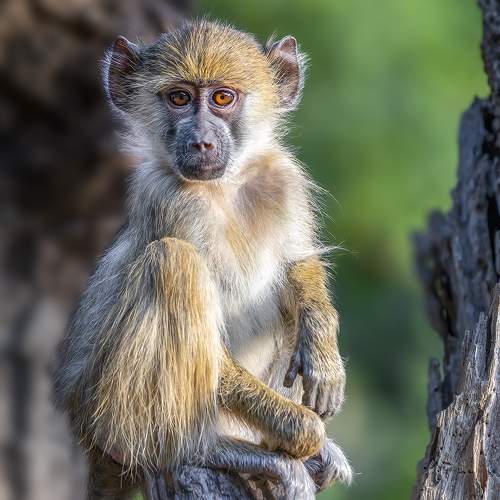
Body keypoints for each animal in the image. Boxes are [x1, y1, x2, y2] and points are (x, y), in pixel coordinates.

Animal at [54, 19, 352, 500]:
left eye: (222, 98)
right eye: (179, 98)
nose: (201, 142)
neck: (223, 188)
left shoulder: (283, 180)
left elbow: (297, 266)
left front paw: (323, 353)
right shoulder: (170, 201)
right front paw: (304, 430)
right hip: (110, 414)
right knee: (172, 261)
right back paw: (209, 450)